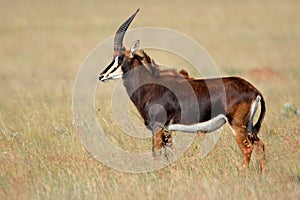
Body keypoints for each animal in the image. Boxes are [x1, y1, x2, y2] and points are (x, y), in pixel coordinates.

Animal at [99, 9, 266, 172]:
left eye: (120, 58)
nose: (102, 76)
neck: (151, 85)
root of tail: (254, 90)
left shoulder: (157, 127)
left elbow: (156, 155)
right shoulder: (168, 130)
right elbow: (168, 155)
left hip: (237, 125)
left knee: (247, 148)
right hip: (249, 127)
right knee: (260, 145)